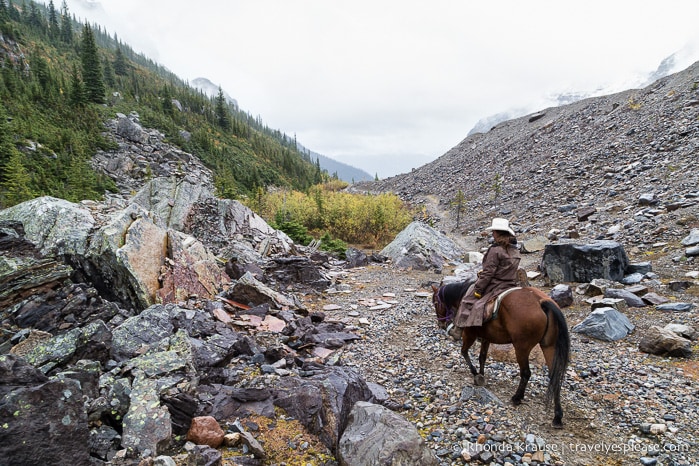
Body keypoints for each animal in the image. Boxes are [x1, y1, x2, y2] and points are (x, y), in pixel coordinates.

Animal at [432, 278, 576, 428]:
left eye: (435, 303)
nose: (440, 325)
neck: (462, 295)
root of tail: (541, 302)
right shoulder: (486, 337)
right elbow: (482, 357)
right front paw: (481, 375)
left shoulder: (469, 334)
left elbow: (464, 352)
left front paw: (475, 373)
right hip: (549, 347)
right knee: (555, 376)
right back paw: (557, 417)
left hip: (522, 347)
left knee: (526, 373)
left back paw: (517, 397)